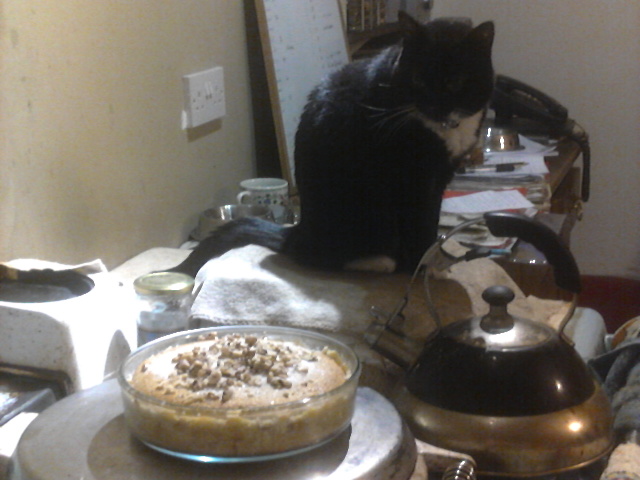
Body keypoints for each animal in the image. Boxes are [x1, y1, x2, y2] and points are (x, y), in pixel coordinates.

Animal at [170, 13, 496, 278]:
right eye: (417, 78)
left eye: (455, 82)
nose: (433, 105)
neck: (446, 128)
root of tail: (295, 233)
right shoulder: (412, 179)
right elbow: (419, 223)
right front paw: (420, 265)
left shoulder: (441, 176)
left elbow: (432, 219)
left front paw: (437, 256)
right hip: (366, 208)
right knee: (317, 257)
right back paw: (379, 262)